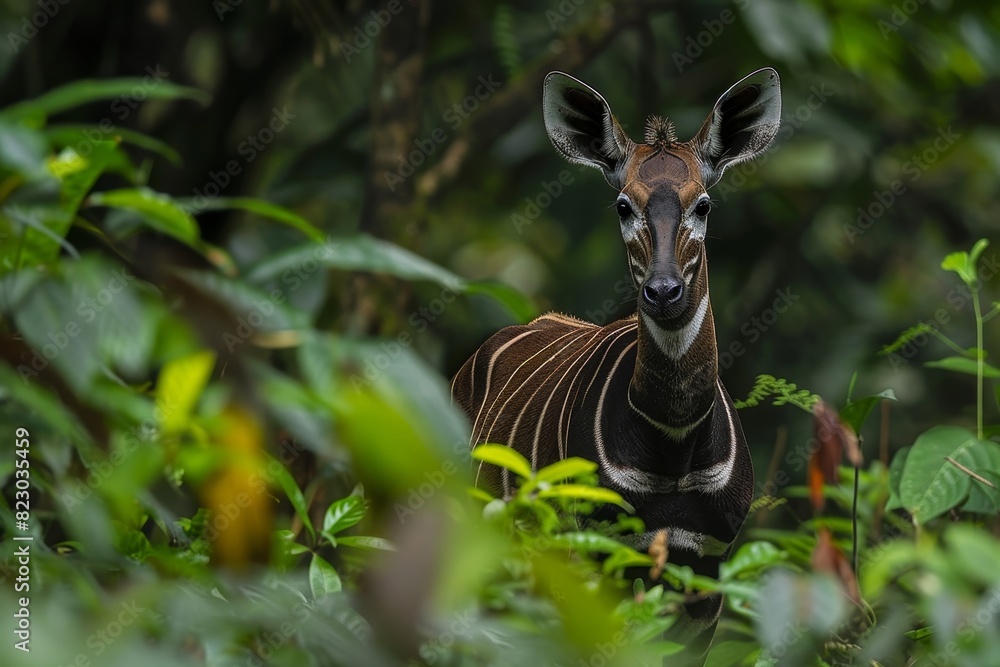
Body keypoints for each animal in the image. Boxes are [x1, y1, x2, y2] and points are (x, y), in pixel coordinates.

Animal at [451, 68, 780, 662]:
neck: (672, 444)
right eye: (624, 205)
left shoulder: (704, 567)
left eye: (703, 205)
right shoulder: (591, 550)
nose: (664, 291)